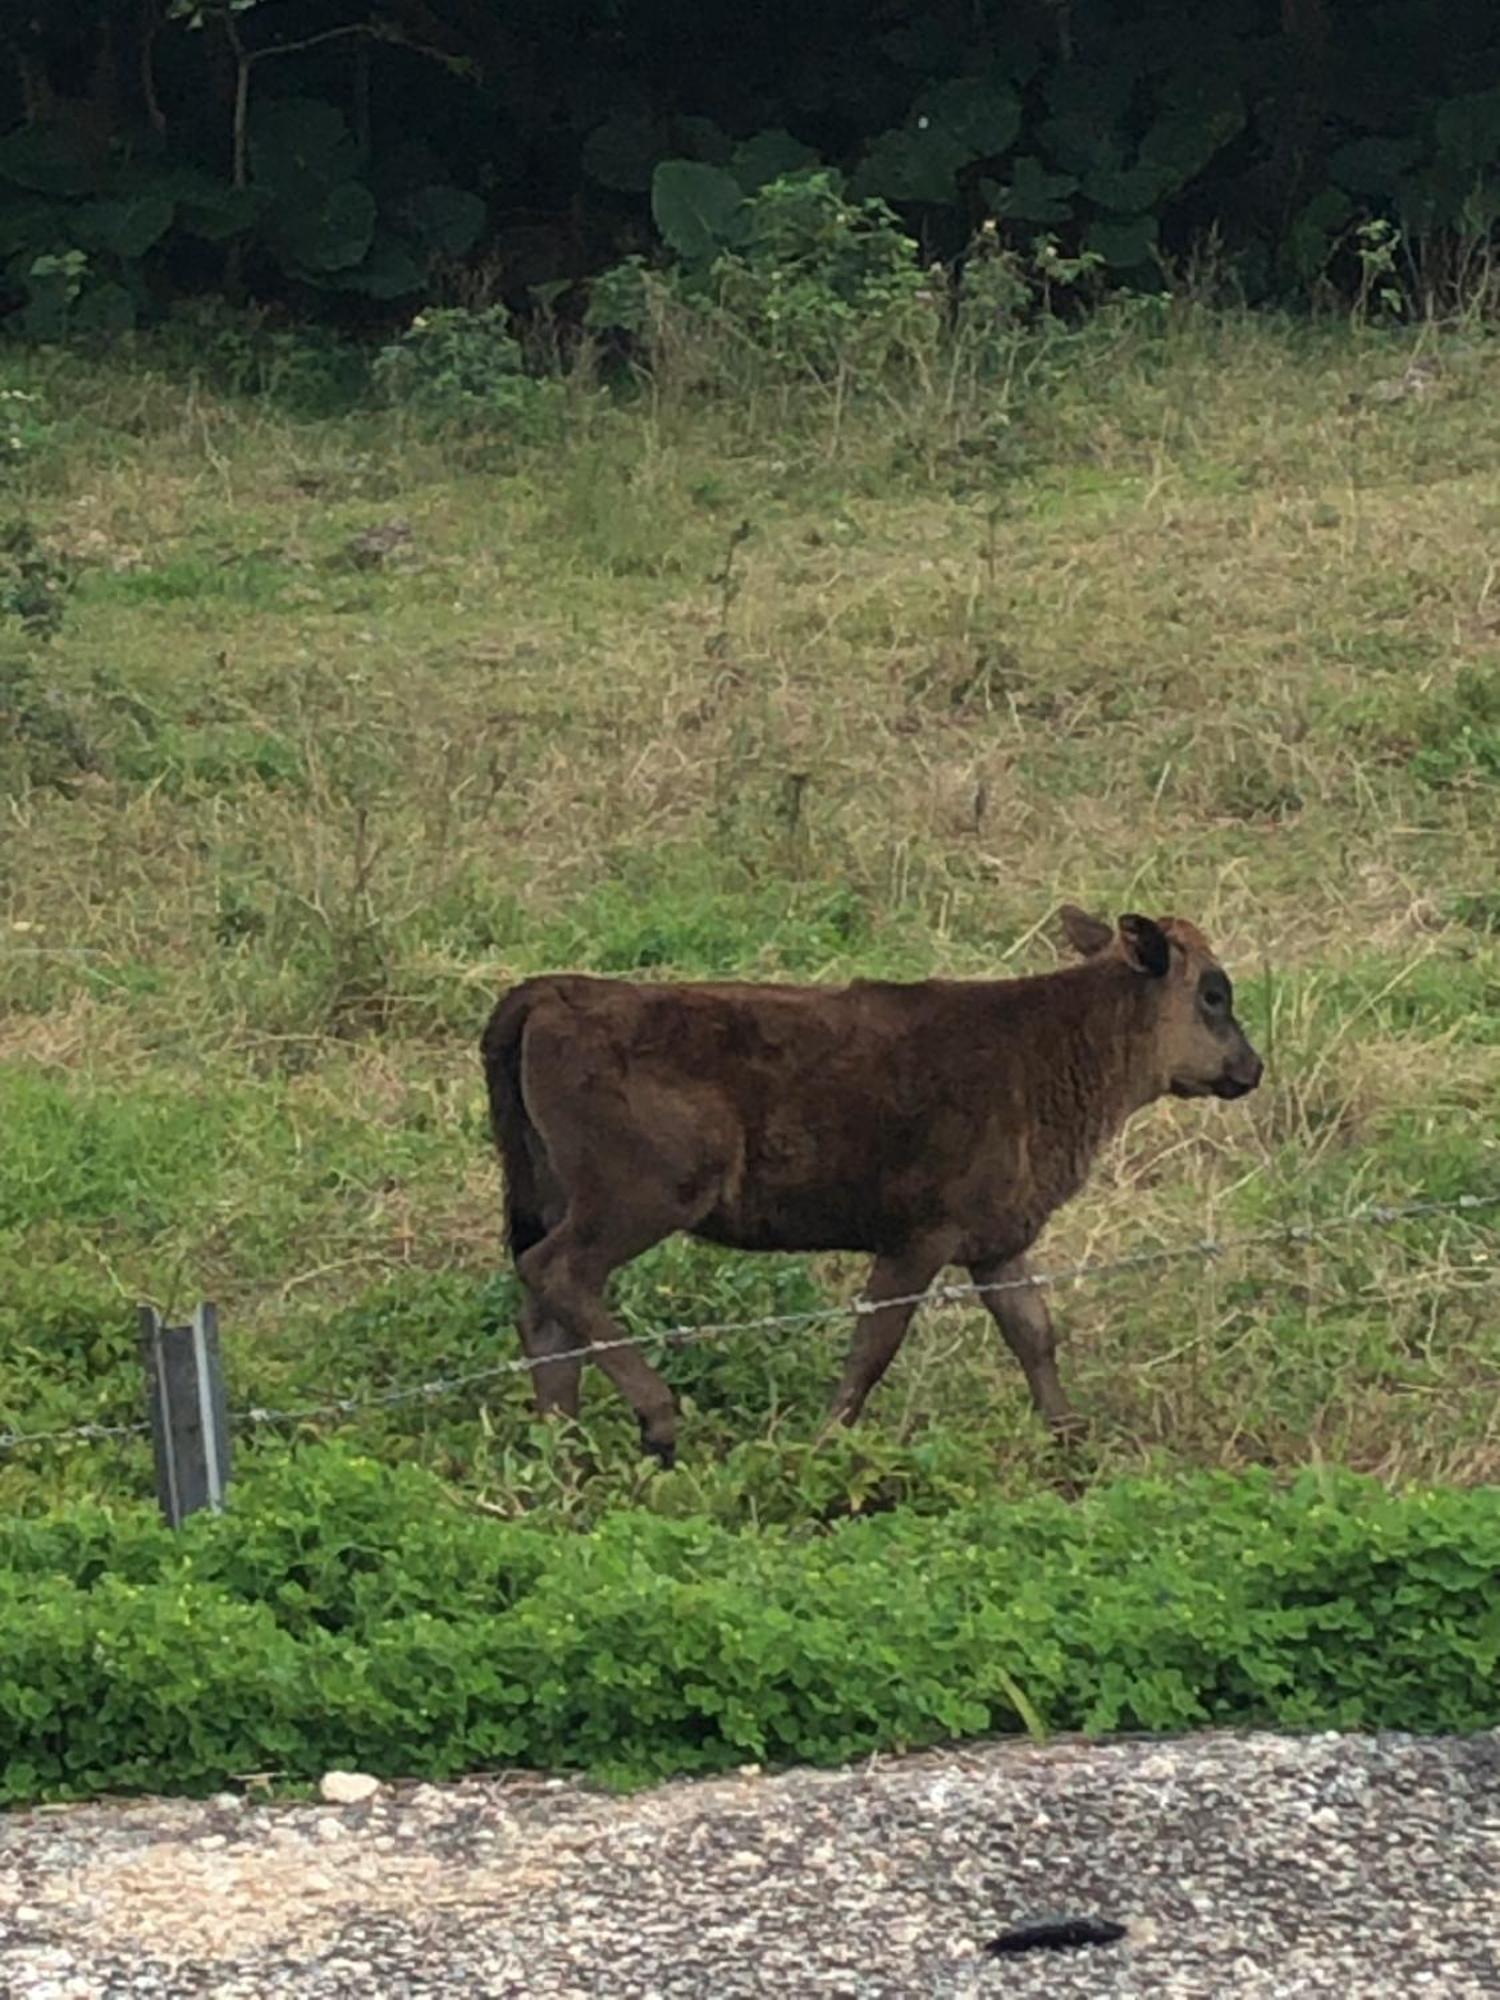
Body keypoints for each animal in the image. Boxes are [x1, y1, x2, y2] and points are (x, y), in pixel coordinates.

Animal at [488, 916, 1264, 1464]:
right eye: (1214, 993)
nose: (1251, 1067)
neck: (1051, 1045)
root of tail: (555, 992)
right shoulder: (918, 1239)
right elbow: (874, 1346)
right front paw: (827, 1443)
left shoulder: (997, 1244)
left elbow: (1034, 1335)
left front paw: (1073, 1442)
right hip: (634, 1203)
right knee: (559, 1273)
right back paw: (657, 1418)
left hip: (563, 1198)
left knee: (547, 1317)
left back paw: (561, 1446)